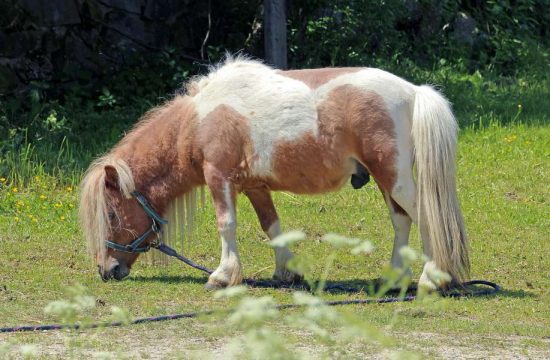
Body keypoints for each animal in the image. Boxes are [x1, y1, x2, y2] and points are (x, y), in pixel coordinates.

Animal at [80, 57, 472, 292]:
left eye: (111, 214)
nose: (106, 270)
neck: (200, 119)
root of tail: (414, 91)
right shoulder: (254, 186)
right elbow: (272, 225)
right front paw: (287, 272)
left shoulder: (219, 177)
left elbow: (227, 225)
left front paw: (222, 276)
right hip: (386, 179)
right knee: (401, 220)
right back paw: (394, 278)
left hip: (394, 177)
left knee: (424, 217)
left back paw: (432, 277)